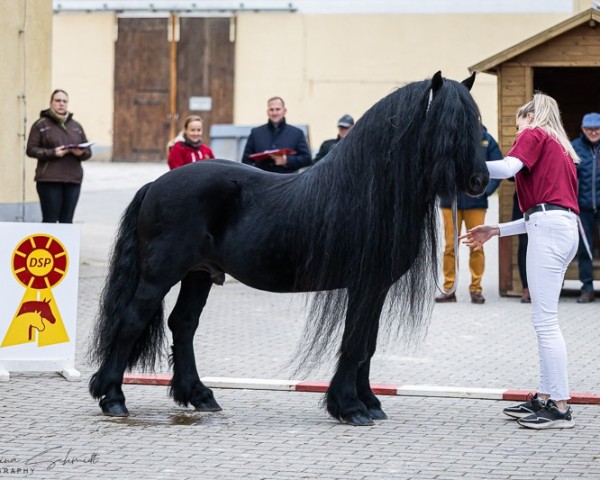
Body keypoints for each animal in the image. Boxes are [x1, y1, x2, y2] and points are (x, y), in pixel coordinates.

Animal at [91, 70, 490, 424]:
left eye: (476, 124)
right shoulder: (364, 286)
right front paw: (350, 407)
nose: (479, 181)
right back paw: (112, 397)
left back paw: (199, 395)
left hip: (198, 274)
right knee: (132, 320)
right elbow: (354, 342)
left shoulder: (376, 288)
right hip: (160, 275)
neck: (370, 189)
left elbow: (368, 344)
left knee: (183, 324)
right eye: (449, 125)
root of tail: (155, 184)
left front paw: (370, 402)